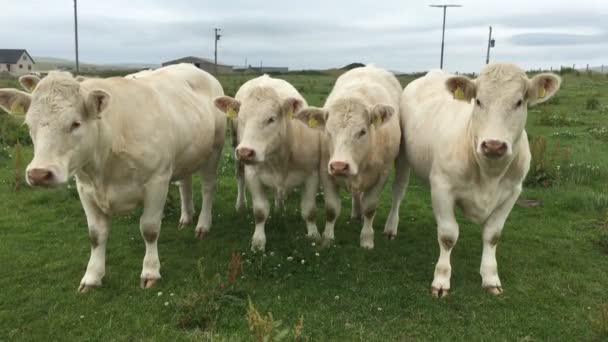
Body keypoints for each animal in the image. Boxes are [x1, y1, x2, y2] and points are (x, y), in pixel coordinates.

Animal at [0, 63, 227, 292]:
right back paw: (186, 217)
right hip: (185, 156)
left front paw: (150, 271)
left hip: (214, 150)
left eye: (75, 123)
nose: (39, 174)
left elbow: (149, 229)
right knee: (185, 183)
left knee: (208, 188)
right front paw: (92, 276)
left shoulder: (157, 181)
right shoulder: (85, 189)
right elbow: (96, 234)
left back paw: (202, 225)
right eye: (29, 124)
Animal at [213, 75, 320, 251]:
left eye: (271, 119)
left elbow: (309, 210)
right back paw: (241, 205)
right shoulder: (253, 175)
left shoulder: (312, 174)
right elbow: (260, 211)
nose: (245, 152)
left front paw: (313, 235)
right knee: (240, 177)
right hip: (236, 146)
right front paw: (258, 241)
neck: (280, 157)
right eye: (241, 118)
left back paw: (280, 207)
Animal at [296, 66, 408, 248]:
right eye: (328, 131)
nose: (339, 165)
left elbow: (370, 209)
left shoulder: (382, 175)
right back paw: (356, 212)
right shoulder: (326, 171)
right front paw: (328, 237)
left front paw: (367, 239)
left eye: (362, 131)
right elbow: (331, 209)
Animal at [400, 63, 560, 296]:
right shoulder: (442, 187)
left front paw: (490, 278)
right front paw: (441, 280)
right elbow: (448, 235)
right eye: (478, 101)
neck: (489, 174)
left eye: (519, 102)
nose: (493, 145)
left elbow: (492, 235)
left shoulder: (512, 192)